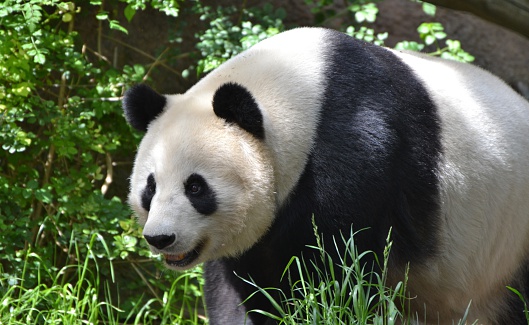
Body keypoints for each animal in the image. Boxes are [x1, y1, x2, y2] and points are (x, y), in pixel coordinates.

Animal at [121, 27, 528, 324]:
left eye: (196, 187)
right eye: (149, 188)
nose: (161, 238)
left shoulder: (359, 146)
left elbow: (337, 267)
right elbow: (238, 285)